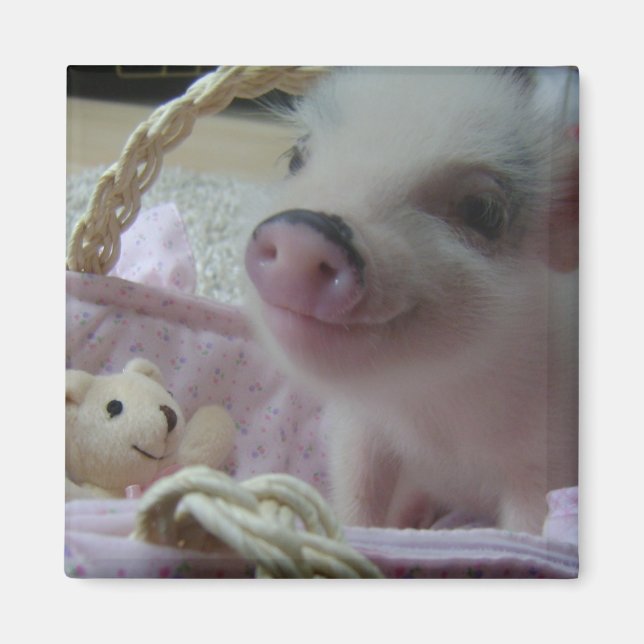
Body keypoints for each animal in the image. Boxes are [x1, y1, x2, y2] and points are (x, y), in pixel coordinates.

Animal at [242, 67, 578, 535]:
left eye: (484, 211)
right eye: (296, 158)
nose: (303, 233)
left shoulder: (545, 456)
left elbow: (526, 530)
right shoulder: (357, 428)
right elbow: (357, 493)